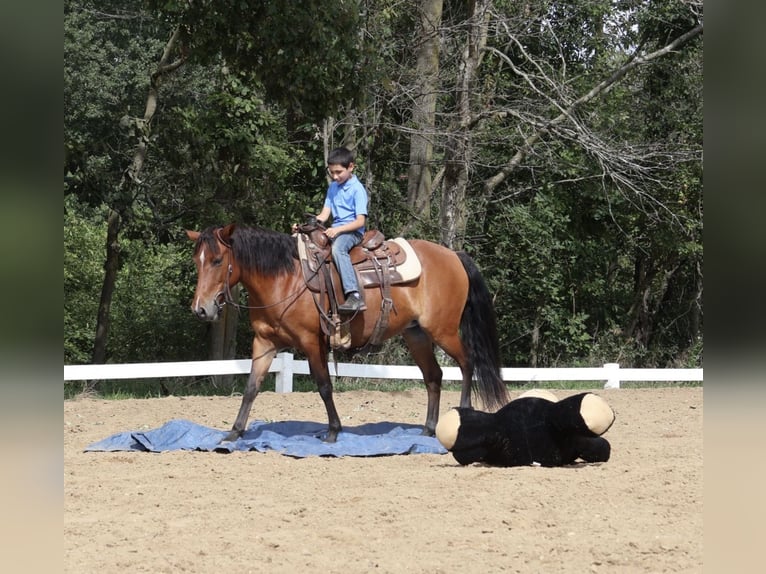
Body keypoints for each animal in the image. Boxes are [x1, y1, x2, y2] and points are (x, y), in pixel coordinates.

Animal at [186, 223, 508, 443]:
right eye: (197, 262)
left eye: (217, 261)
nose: (200, 309)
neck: (284, 279)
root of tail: (454, 255)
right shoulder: (264, 343)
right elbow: (251, 387)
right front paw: (234, 432)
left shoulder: (311, 342)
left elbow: (324, 386)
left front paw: (332, 431)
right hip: (416, 334)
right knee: (434, 376)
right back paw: (429, 429)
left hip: (444, 331)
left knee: (467, 364)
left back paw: (462, 416)